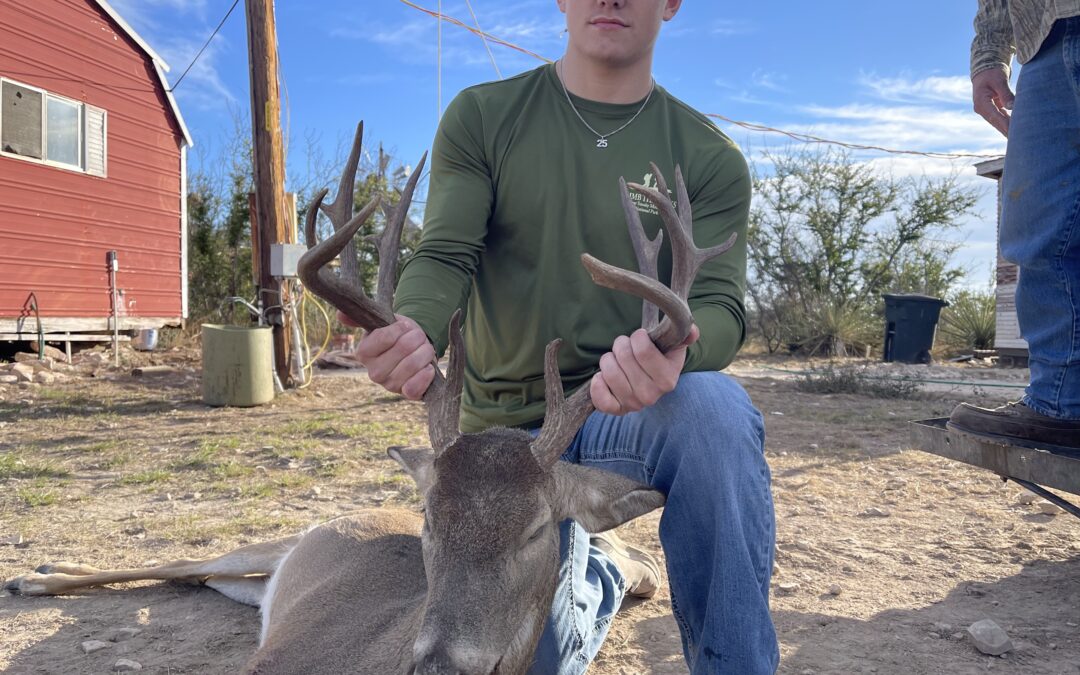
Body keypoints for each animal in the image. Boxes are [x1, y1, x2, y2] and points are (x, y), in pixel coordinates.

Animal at [4, 122, 736, 675]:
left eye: (537, 529)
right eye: (429, 516)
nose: (439, 665)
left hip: (253, 582)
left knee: (193, 576)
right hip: (266, 547)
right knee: (184, 559)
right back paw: (35, 574)